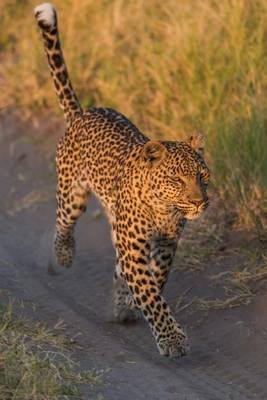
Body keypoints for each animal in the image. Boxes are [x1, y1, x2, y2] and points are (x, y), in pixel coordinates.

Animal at [34, 2, 211, 360]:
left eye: (201, 176)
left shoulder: (166, 245)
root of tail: (83, 113)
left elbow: (155, 280)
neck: (164, 209)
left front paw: (127, 303)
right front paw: (171, 339)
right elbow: (152, 295)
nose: (199, 201)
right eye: (178, 179)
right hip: (72, 193)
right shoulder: (134, 248)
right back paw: (62, 255)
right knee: (63, 222)